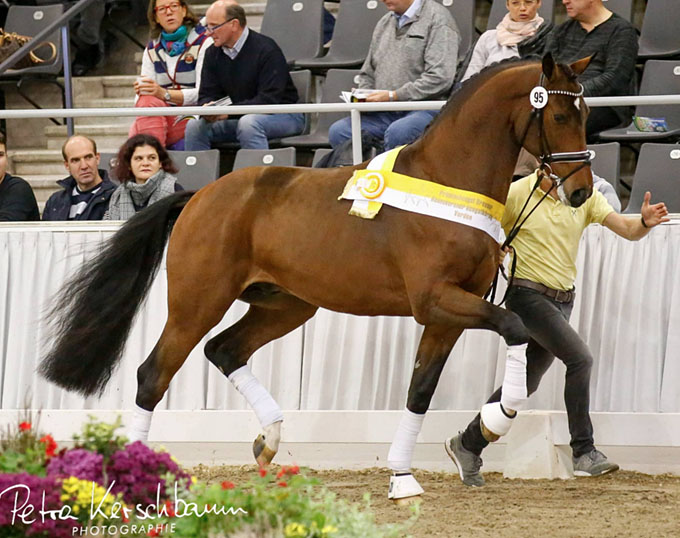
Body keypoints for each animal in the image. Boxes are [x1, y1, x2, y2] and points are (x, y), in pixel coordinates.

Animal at [40, 54, 593, 501]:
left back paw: (269, 441)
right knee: (153, 374)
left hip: (286, 304)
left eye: (586, 115)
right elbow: (515, 328)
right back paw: (135, 481)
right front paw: (500, 418)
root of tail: (198, 195)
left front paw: (402, 477)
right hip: (198, 303)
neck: (448, 182)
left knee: (225, 350)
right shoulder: (435, 301)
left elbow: (420, 390)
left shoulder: (450, 314)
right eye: (560, 115)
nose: (582, 191)